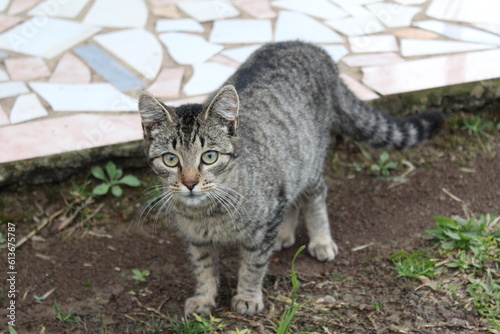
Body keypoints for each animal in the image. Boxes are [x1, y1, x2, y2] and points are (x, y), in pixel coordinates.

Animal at [139, 40, 444, 318]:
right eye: (170, 159)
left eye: (210, 156)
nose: (190, 183)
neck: (207, 213)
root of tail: (309, 46)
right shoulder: (197, 240)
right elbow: (203, 268)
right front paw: (204, 298)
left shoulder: (267, 215)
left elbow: (253, 265)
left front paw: (247, 296)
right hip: (292, 166)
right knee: (293, 199)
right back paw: (284, 235)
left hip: (310, 161)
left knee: (316, 195)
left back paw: (320, 240)